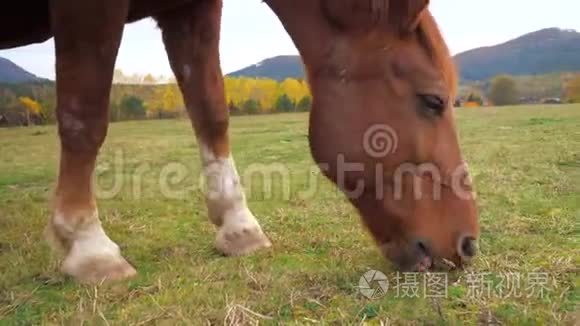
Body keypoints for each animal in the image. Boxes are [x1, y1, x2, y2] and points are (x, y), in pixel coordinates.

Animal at [1, 0, 480, 284]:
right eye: (433, 100)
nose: (467, 245)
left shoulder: (190, 8)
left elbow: (211, 111)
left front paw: (239, 227)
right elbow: (85, 117)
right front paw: (89, 247)